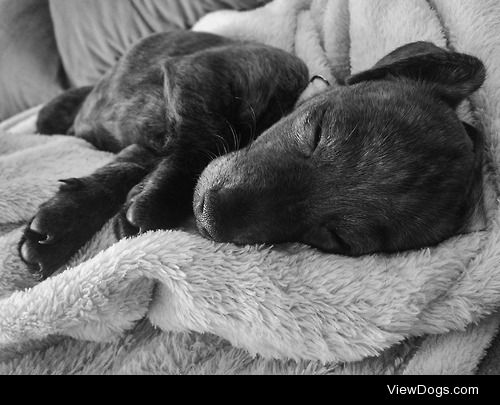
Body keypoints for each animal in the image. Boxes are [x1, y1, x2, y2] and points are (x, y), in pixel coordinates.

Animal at [19, 31, 310, 278]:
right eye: (314, 135)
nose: (217, 217)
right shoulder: (203, 75)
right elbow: (200, 146)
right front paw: (152, 201)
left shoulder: (146, 147)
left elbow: (123, 172)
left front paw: (66, 220)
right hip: (48, 118)